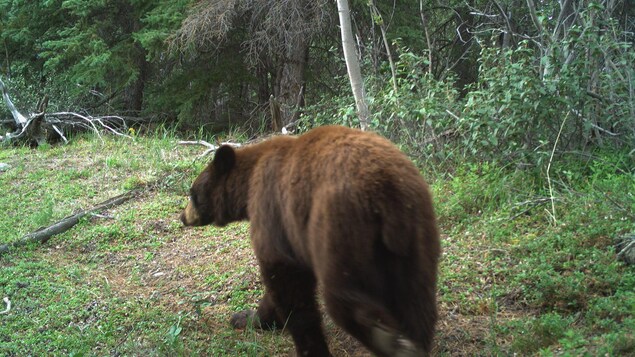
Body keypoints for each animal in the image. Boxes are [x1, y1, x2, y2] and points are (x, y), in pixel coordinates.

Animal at [183, 125, 442, 356]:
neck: (248, 182)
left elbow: (285, 278)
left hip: (339, 226)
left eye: (192, 193)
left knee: (343, 293)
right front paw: (246, 317)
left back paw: (387, 339)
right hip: (417, 233)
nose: (183, 217)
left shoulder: (273, 210)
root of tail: (386, 189)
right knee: (416, 297)